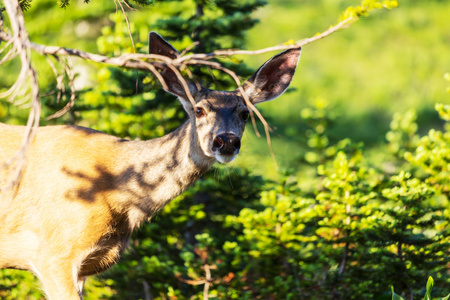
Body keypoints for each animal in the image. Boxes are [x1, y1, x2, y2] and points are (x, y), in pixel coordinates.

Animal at [0, 31, 302, 298]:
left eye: (244, 113)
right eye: (199, 110)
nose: (226, 141)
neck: (117, 194)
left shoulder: (86, 266)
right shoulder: (55, 253)